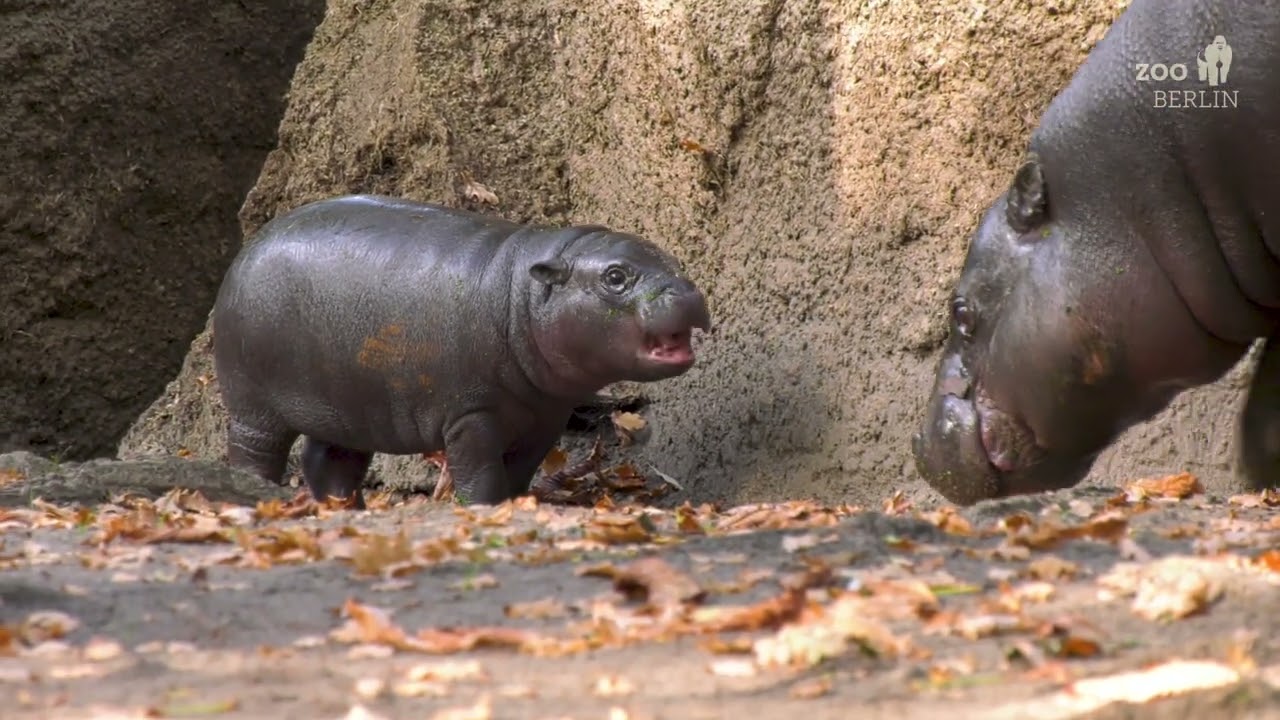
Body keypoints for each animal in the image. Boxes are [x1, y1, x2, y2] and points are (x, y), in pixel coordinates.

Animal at [211, 194, 710, 508]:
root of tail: (247, 249)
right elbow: (480, 471)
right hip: (254, 403)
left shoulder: (545, 417)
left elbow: (520, 470)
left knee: (330, 462)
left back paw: (348, 510)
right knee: (253, 451)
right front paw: (487, 508)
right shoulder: (471, 415)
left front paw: (517, 504)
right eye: (615, 276)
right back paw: (258, 493)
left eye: (673, 261)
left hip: (346, 406)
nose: (688, 292)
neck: (521, 296)